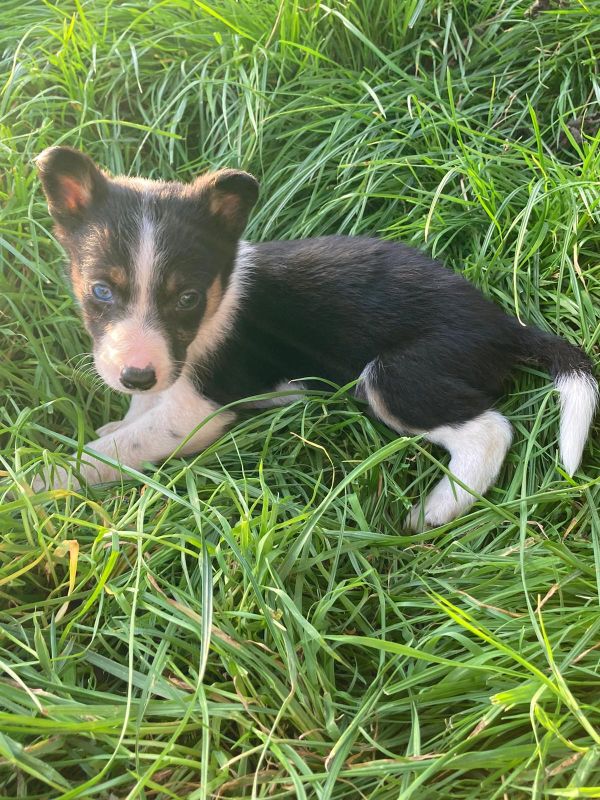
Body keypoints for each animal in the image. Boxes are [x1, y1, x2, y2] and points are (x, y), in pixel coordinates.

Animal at [36, 147, 596, 528]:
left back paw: (437, 508)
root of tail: (501, 323)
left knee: (490, 430)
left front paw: (37, 485)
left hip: (396, 376)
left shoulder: (198, 412)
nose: (136, 374)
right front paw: (118, 419)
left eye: (188, 298)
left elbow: (105, 455)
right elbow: (135, 416)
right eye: (101, 291)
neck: (219, 295)